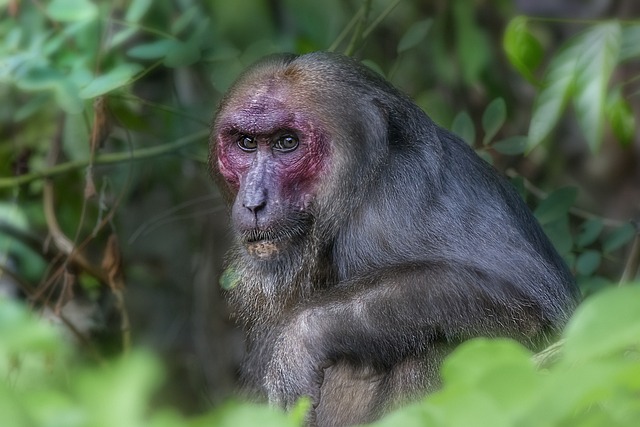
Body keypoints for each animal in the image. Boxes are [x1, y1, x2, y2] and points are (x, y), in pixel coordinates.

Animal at [210, 51, 580, 426]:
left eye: (287, 142)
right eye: (246, 143)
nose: (254, 200)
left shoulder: (394, 206)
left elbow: (522, 299)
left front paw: (302, 340)